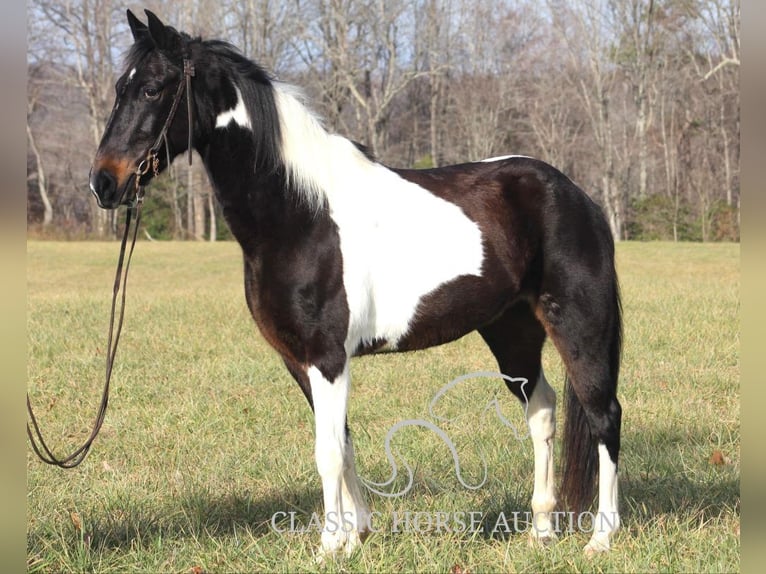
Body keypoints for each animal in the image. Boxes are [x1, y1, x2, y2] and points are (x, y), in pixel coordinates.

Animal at [88, 7, 624, 560]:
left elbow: (326, 450)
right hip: (512, 331)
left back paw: (601, 537)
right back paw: (540, 530)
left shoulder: (327, 357)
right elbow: (341, 443)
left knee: (603, 415)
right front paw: (355, 534)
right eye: (120, 87)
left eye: (153, 88)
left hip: (579, 326)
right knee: (542, 410)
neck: (300, 213)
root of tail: (578, 196)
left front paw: (329, 545)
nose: (103, 183)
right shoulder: (301, 360)